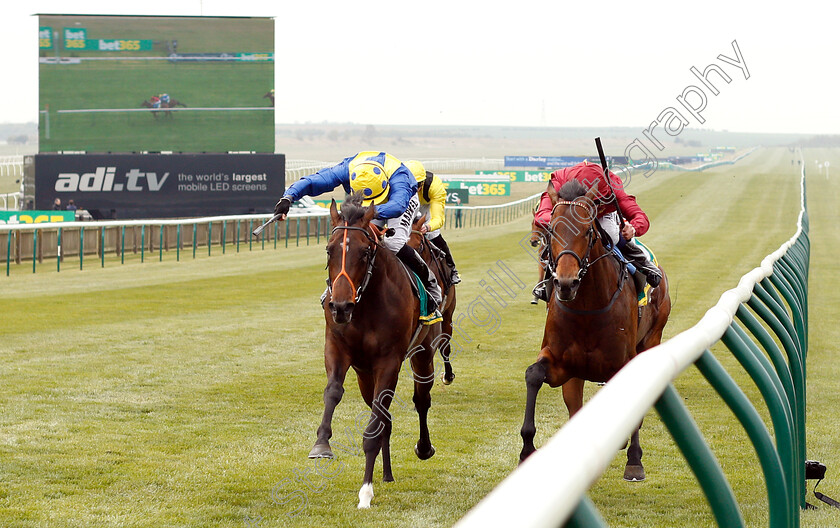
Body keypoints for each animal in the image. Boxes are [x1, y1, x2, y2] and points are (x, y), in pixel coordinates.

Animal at [310, 193, 440, 508]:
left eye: (365, 252)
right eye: (329, 250)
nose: (340, 306)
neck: (366, 305)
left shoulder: (389, 361)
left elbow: (373, 427)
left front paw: (365, 492)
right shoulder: (337, 348)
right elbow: (333, 392)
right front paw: (322, 443)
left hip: (423, 354)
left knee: (421, 400)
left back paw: (423, 448)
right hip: (363, 374)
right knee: (385, 417)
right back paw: (387, 474)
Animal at [520, 179, 668, 480]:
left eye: (588, 231)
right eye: (552, 229)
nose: (566, 282)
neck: (588, 308)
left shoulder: (621, 362)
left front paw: (634, 461)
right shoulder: (561, 363)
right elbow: (534, 375)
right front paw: (527, 450)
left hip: (652, 336)